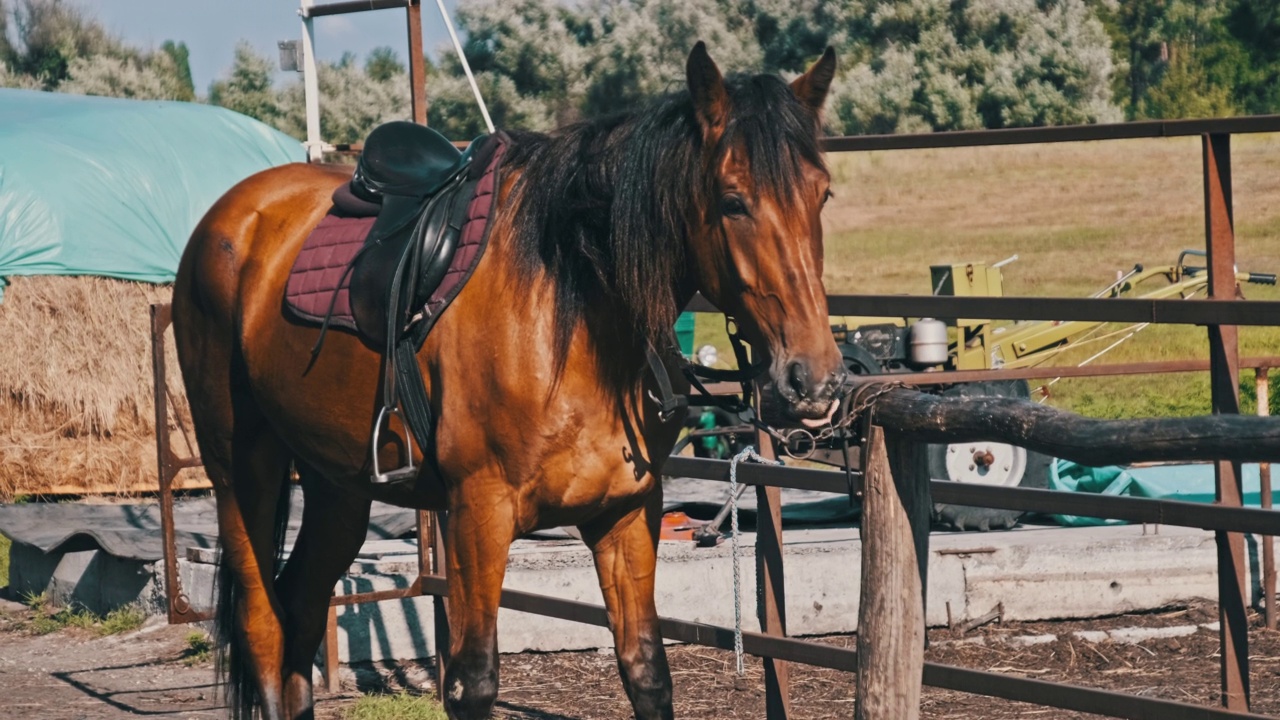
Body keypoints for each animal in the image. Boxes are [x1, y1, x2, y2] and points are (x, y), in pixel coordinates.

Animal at [175, 43, 844, 717]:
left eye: (823, 195)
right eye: (732, 200)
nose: (811, 379)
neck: (571, 318)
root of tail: (234, 214)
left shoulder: (626, 513)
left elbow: (646, 670)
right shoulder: (479, 515)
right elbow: (473, 683)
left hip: (337, 485)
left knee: (303, 607)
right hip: (242, 472)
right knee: (264, 623)